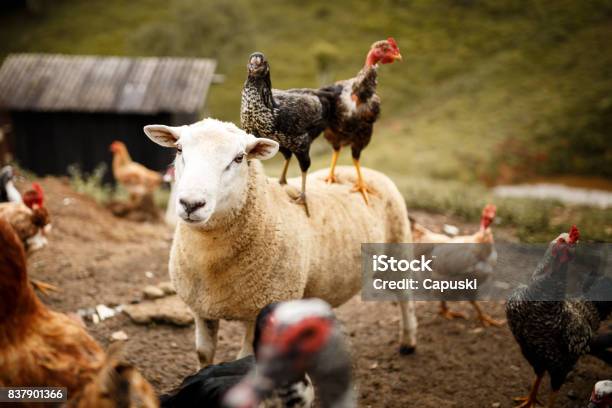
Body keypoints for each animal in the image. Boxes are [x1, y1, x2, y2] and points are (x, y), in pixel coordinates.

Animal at [146, 118, 418, 366]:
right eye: (179, 149)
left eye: (239, 158)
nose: (191, 204)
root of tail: (363, 171)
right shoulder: (201, 309)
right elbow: (203, 354)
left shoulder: (261, 311)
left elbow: (244, 359)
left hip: (398, 248)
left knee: (405, 297)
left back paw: (408, 342)